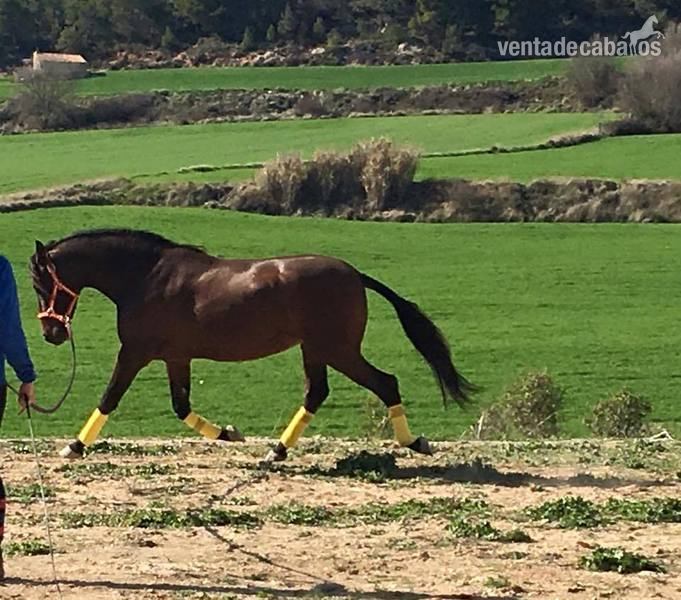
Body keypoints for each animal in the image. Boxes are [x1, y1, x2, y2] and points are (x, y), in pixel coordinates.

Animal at [29, 229, 474, 461]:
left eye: (40, 283)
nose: (52, 333)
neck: (147, 277)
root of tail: (353, 274)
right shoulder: (176, 356)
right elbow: (181, 406)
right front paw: (230, 433)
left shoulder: (136, 352)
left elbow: (110, 396)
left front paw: (74, 446)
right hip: (315, 349)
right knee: (318, 392)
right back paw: (277, 450)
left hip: (337, 349)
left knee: (385, 383)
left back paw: (413, 441)